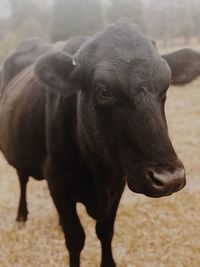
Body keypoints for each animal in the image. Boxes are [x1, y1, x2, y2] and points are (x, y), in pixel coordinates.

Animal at [0, 19, 200, 266]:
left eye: (166, 86)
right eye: (103, 91)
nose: (170, 179)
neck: (97, 171)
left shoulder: (118, 182)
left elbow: (105, 231)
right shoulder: (56, 180)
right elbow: (75, 238)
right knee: (22, 178)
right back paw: (21, 216)